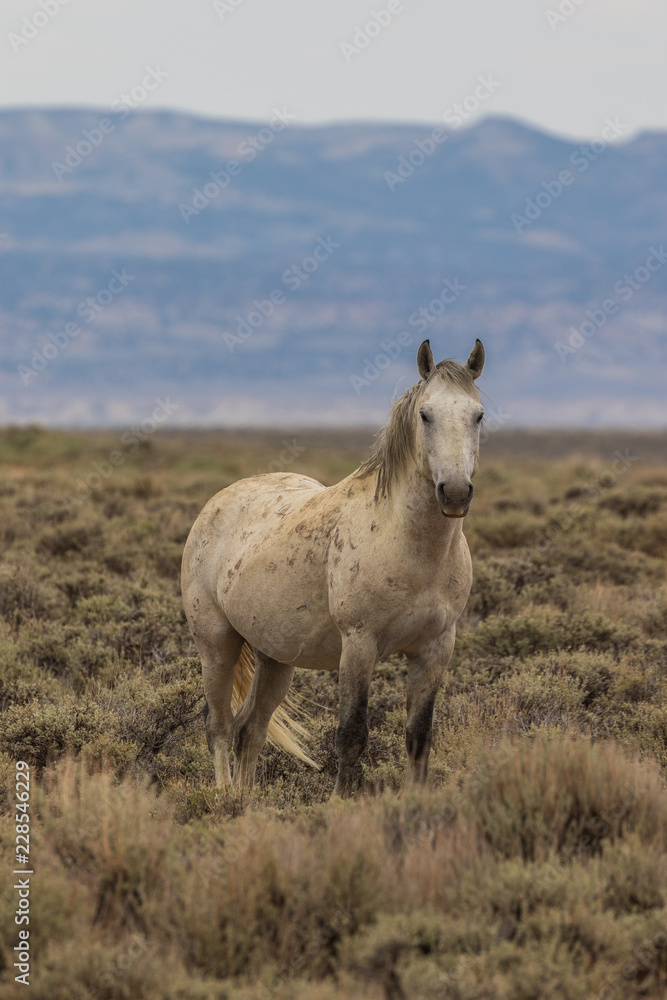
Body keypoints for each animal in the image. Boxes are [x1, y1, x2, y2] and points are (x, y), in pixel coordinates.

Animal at [181, 338, 485, 796]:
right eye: (425, 414)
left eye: (478, 415)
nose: (454, 493)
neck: (412, 547)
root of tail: (218, 501)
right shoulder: (359, 645)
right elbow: (351, 736)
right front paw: (342, 803)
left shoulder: (435, 649)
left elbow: (419, 736)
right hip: (216, 645)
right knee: (218, 726)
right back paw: (223, 798)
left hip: (275, 658)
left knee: (249, 731)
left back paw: (246, 801)